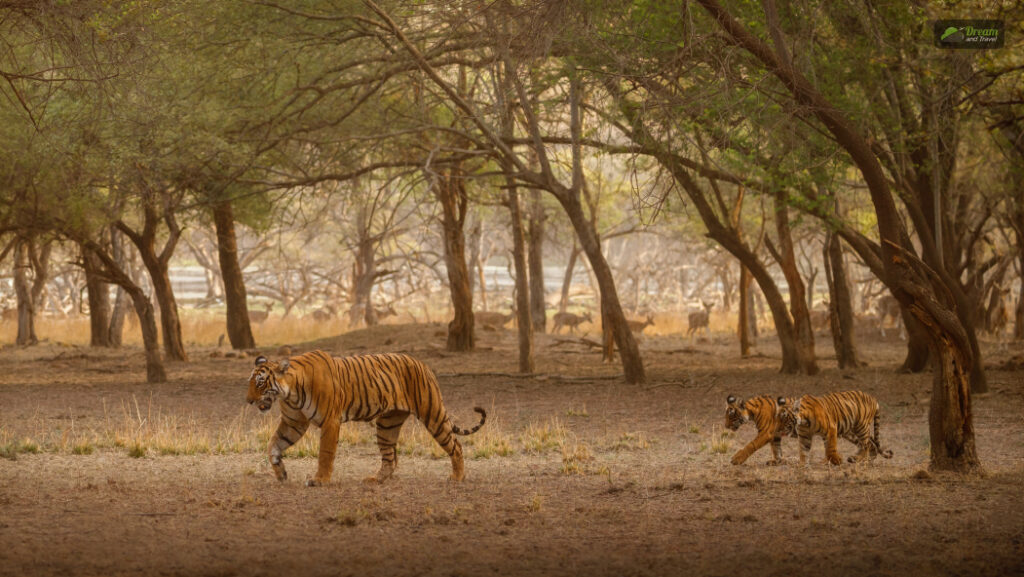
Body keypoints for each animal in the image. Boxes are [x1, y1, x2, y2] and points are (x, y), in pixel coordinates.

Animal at [247, 350, 487, 485]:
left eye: (260, 383)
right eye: (250, 382)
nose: (248, 400)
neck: (290, 392)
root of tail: (423, 364)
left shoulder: (330, 421)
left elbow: (325, 453)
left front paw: (319, 480)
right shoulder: (293, 423)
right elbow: (273, 445)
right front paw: (280, 473)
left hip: (432, 414)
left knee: (456, 446)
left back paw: (457, 477)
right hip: (387, 424)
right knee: (390, 458)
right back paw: (375, 480)